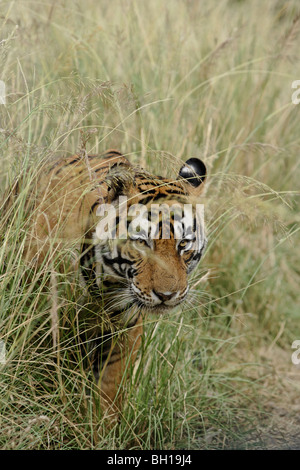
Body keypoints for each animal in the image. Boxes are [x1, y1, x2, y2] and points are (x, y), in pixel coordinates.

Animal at [2, 150, 207, 414]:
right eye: (142, 242)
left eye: (183, 244)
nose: (167, 296)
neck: (107, 285)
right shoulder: (49, 325)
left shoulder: (125, 330)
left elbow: (110, 390)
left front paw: (102, 423)